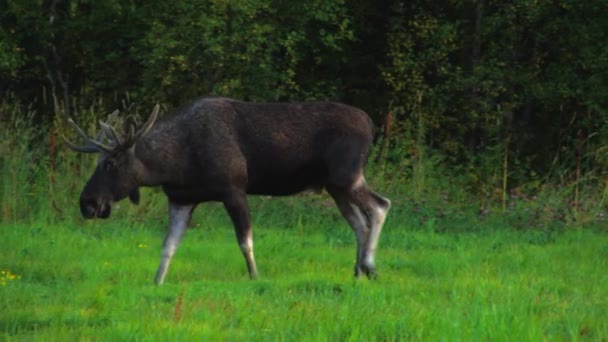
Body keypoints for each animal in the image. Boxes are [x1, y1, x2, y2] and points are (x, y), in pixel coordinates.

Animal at [65, 96, 390, 284]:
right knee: (359, 223)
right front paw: (157, 282)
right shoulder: (181, 199)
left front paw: (255, 276)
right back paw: (358, 270)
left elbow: (245, 241)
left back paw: (370, 265)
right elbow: (168, 246)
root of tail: (371, 124)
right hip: (335, 186)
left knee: (380, 206)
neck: (174, 164)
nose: (87, 203)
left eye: (111, 163)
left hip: (347, 176)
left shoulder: (233, 189)